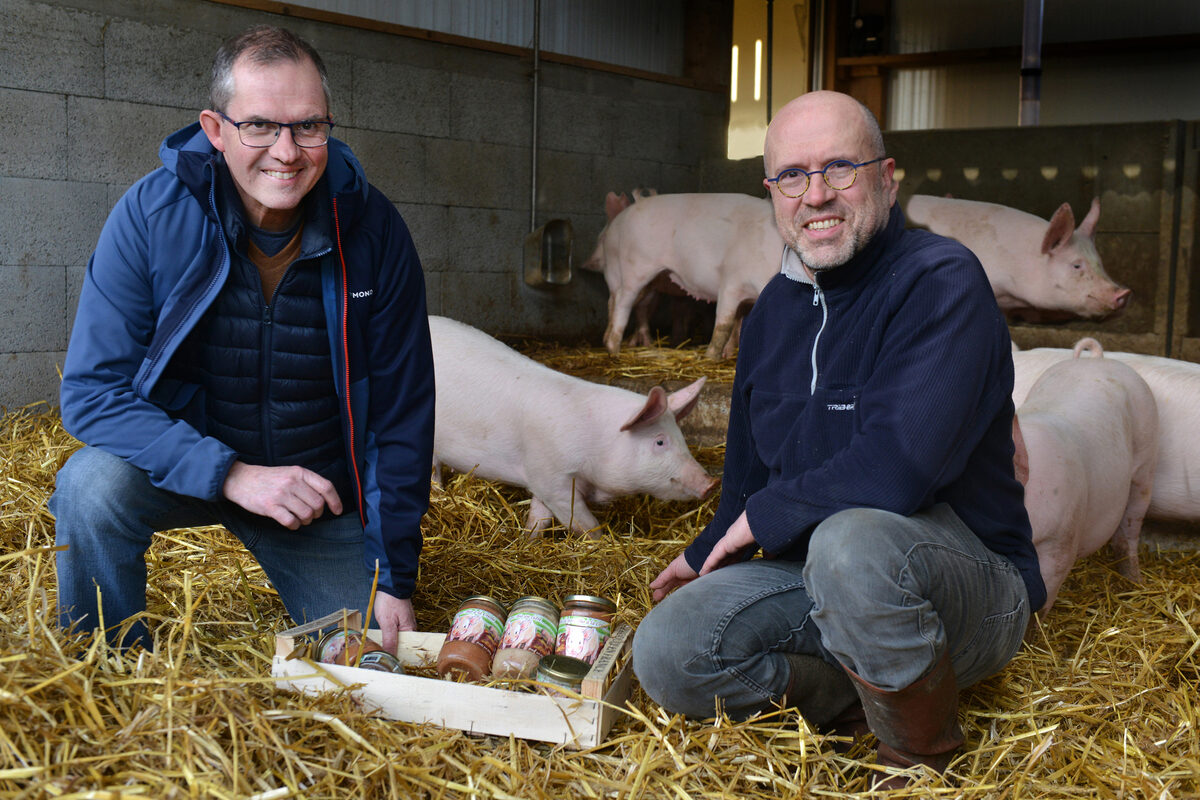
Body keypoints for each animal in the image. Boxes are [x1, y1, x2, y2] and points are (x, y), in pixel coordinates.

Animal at [429, 314, 715, 537]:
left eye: (682, 437)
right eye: (659, 441)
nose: (711, 482)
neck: (597, 443)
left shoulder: (543, 480)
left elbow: (539, 518)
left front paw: (527, 539)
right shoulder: (551, 477)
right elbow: (585, 524)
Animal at [583, 191, 787, 359]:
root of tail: (617, 224)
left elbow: (739, 326)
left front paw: (729, 355)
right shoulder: (731, 283)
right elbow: (724, 324)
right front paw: (710, 358)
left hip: (644, 282)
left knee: (616, 303)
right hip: (634, 270)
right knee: (622, 305)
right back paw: (615, 352)